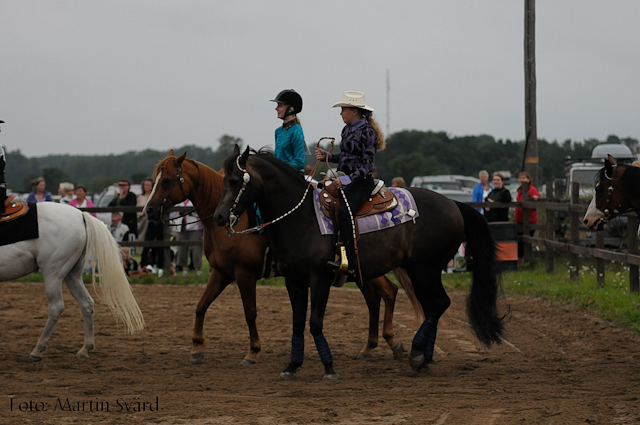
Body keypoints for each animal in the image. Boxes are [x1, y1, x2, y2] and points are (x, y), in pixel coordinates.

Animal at [0, 200, 145, 360]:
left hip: (53, 274)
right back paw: (85, 349)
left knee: (56, 307)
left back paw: (38, 350)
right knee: (86, 303)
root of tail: (81, 215)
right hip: (72, 275)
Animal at [144, 150, 420, 364]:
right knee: (378, 297)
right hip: (363, 271)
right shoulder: (221, 273)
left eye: (166, 180)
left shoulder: (244, 274)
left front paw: (253, 352)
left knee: (387, 293)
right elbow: (201, 306)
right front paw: (196, 348)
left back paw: (389, 343)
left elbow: (250, 311)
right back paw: (373, 346)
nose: (149, 210)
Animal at [215, 147, 504, 380]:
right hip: (421, 271)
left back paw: (416, 353)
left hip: (426, 269)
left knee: (440, 303)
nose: (219, 216)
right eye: (223, 179)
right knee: (433, 305)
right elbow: (297, 323)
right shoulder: (293, 281)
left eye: (234, 180)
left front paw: (329, 367)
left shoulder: (320, 279)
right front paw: (292, 366)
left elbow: (315, 322)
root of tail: (454, 204)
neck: (302, 217)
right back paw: (423, 358)